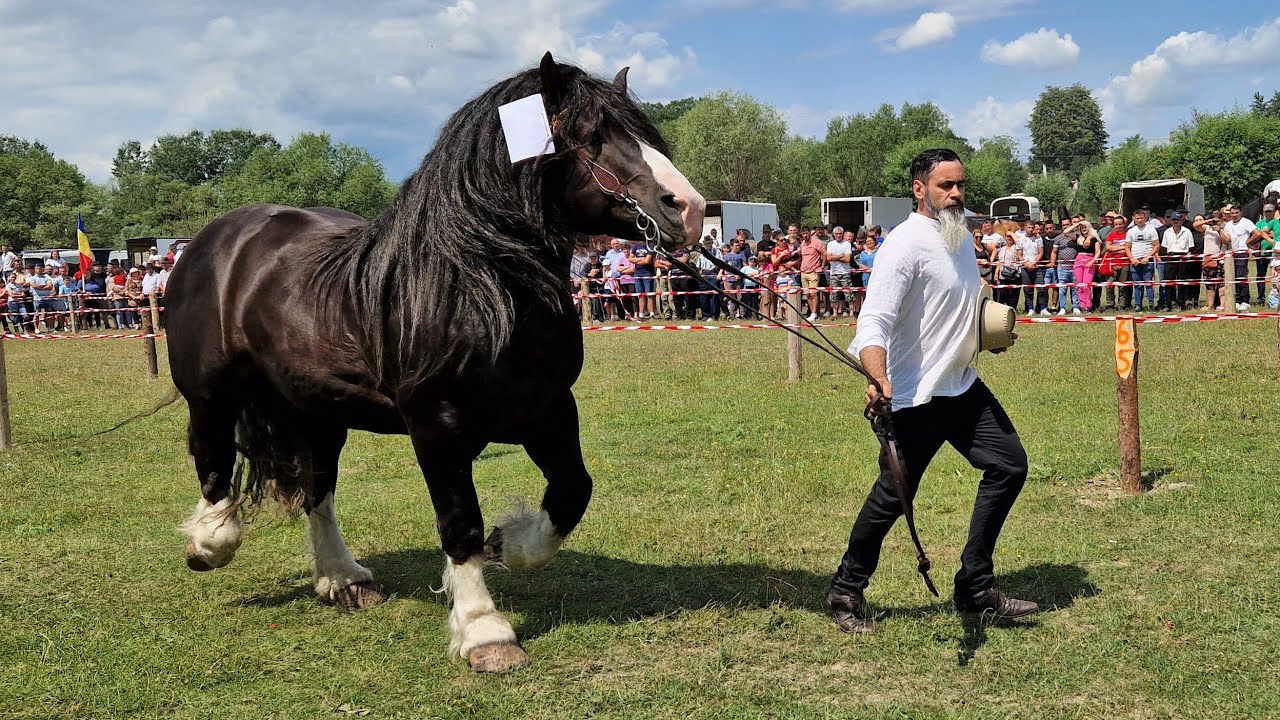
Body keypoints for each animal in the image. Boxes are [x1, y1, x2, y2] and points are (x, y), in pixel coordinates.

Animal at [163, 52, 705, 672]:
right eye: (590, 137)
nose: (690, 209)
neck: (475, 284)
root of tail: (215, 240)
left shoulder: (548, 409)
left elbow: (572, 491)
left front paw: (509, 543)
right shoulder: (437, 424)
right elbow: (460, 522)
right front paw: (485, 631)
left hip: (320, 410)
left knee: (318, 489)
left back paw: (342, 578)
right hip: (211, 394)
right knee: (214, 461)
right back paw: (209, 543)